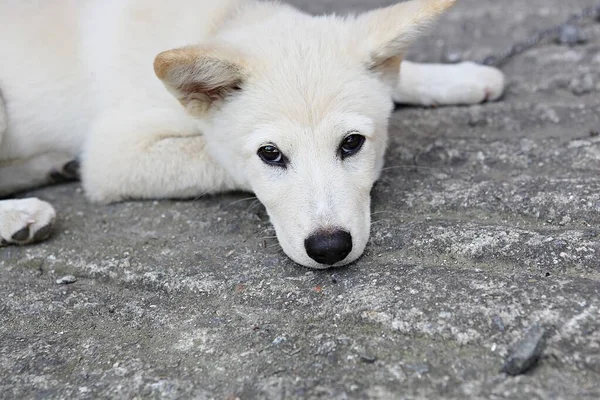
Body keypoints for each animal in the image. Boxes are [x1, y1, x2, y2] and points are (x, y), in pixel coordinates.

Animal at [0, 0, 504, 268]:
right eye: (270, 154)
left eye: (352, 143)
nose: (329, 249)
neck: (220, 18)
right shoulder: (112, 154)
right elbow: (210, 155)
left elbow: (398, 79)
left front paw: (461, 78)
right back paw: (20, 213)